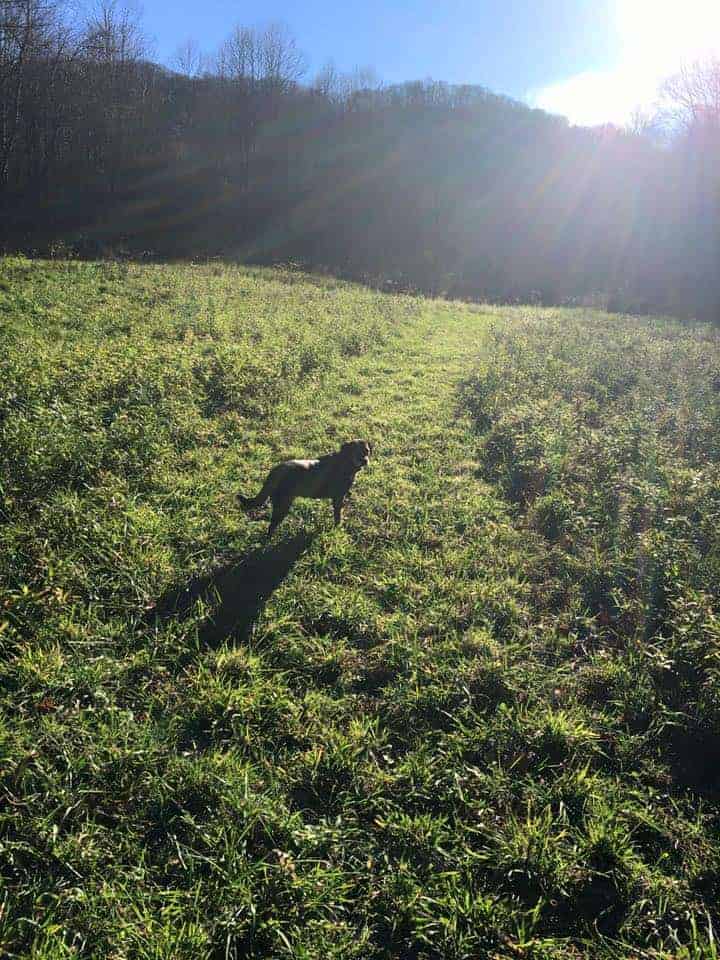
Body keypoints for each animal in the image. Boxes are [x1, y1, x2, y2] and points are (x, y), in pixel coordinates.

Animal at [239, 438, 372, 536]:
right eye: (356, 452)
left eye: (367, 451)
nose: (365, 461)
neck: (345, 462)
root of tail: (277, 470)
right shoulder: (338, 499)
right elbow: (337, 517)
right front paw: (338, 528)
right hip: (283, 506)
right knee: (271, 527)